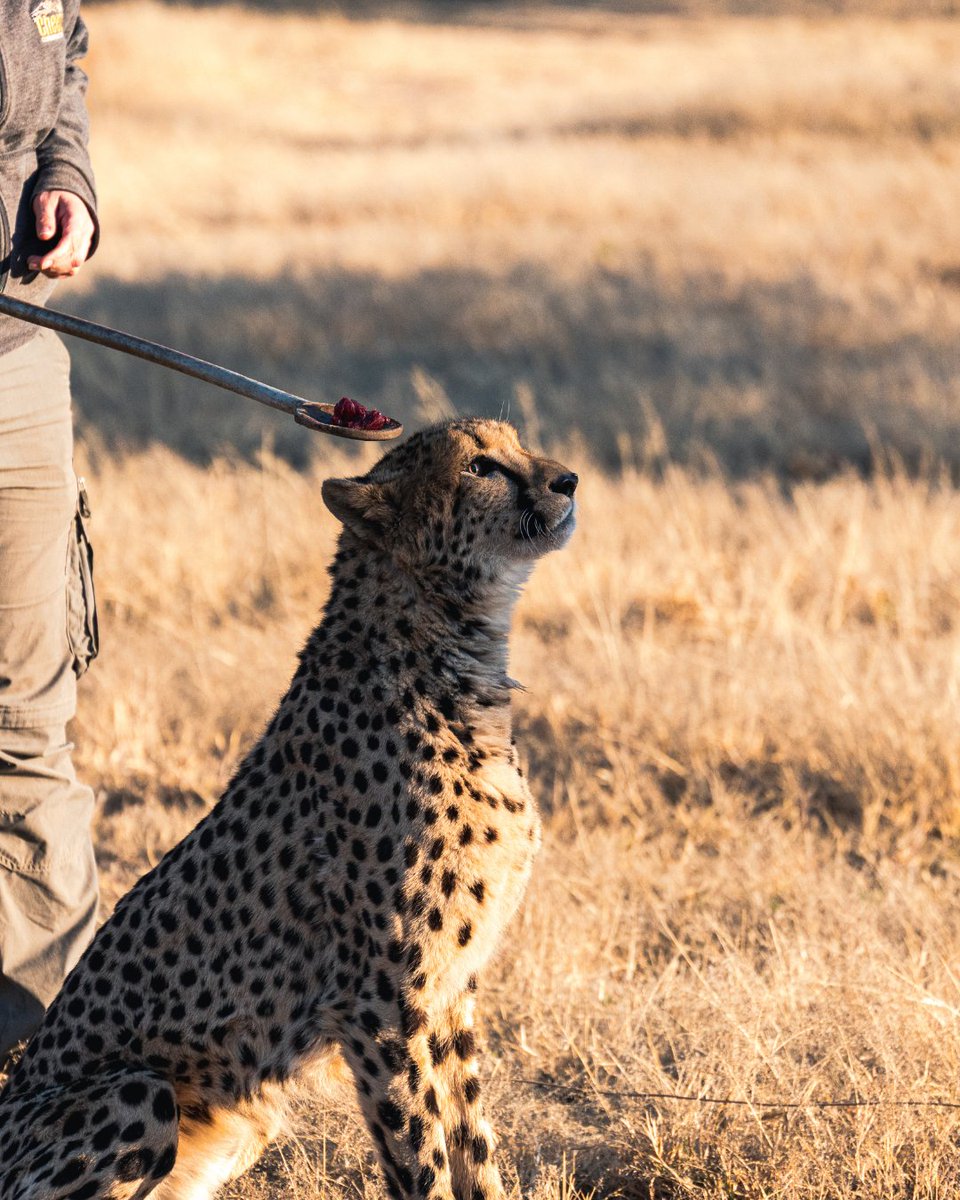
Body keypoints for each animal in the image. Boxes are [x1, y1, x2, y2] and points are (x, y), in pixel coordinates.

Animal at [0, 418, 578, 1200]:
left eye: (517, 444)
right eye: (482, 466)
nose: (568, 480)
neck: (448, 651)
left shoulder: (452, 991)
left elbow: (474, 1149)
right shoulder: (380, 1005)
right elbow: (422, 1156)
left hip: (246, 1122)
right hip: (140, 1090)